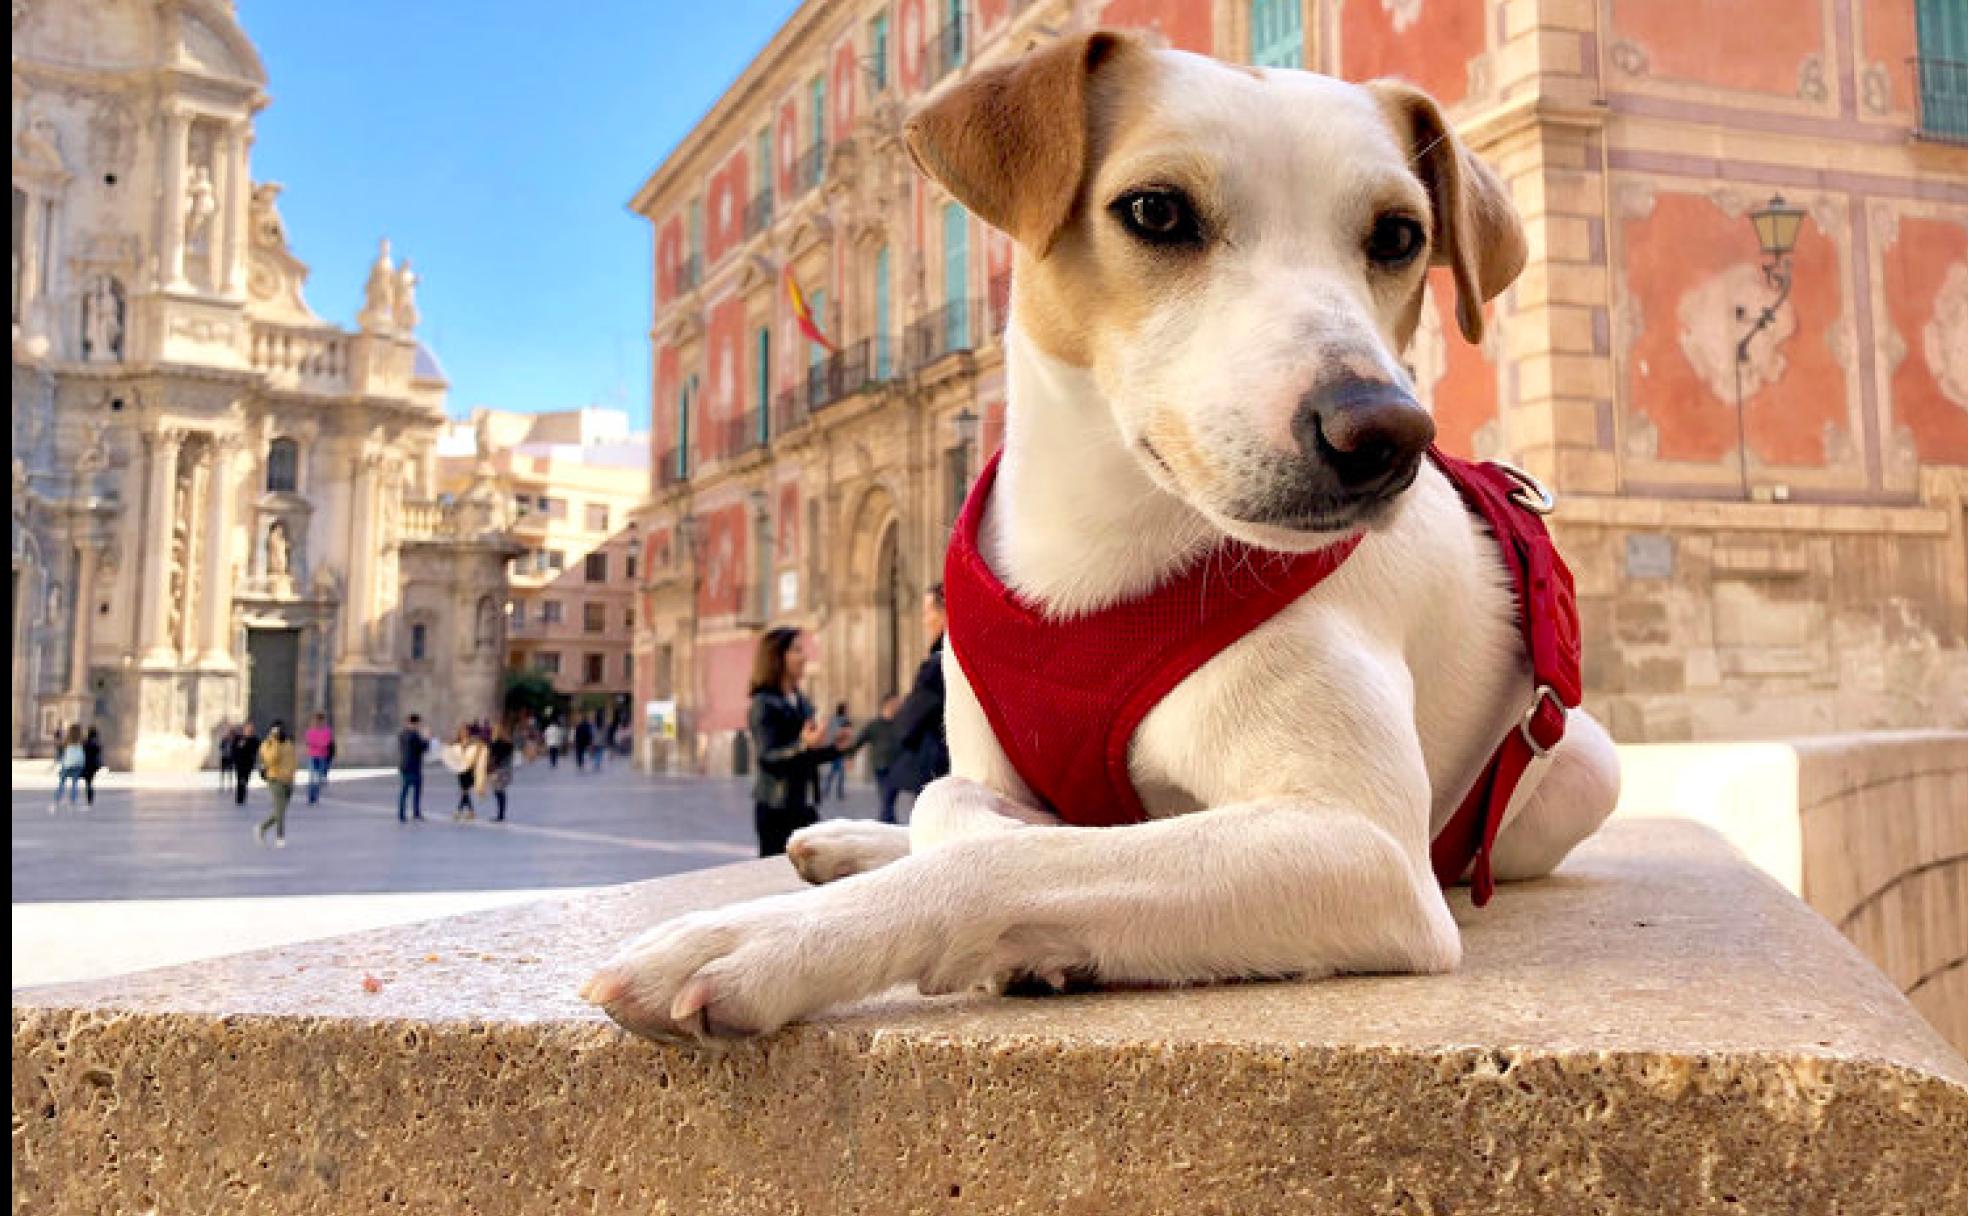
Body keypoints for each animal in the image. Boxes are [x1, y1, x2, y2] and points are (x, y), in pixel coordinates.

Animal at [582, 30, 1629, 1031]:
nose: (1382, 433)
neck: (1096, 545)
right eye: (1156, 212)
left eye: (1401, 235)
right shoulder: (990, 757)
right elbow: (952, 800)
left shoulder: (1362, 846)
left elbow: (1005, 858)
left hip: (1583, 768)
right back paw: (851, 840)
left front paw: (757, 941)